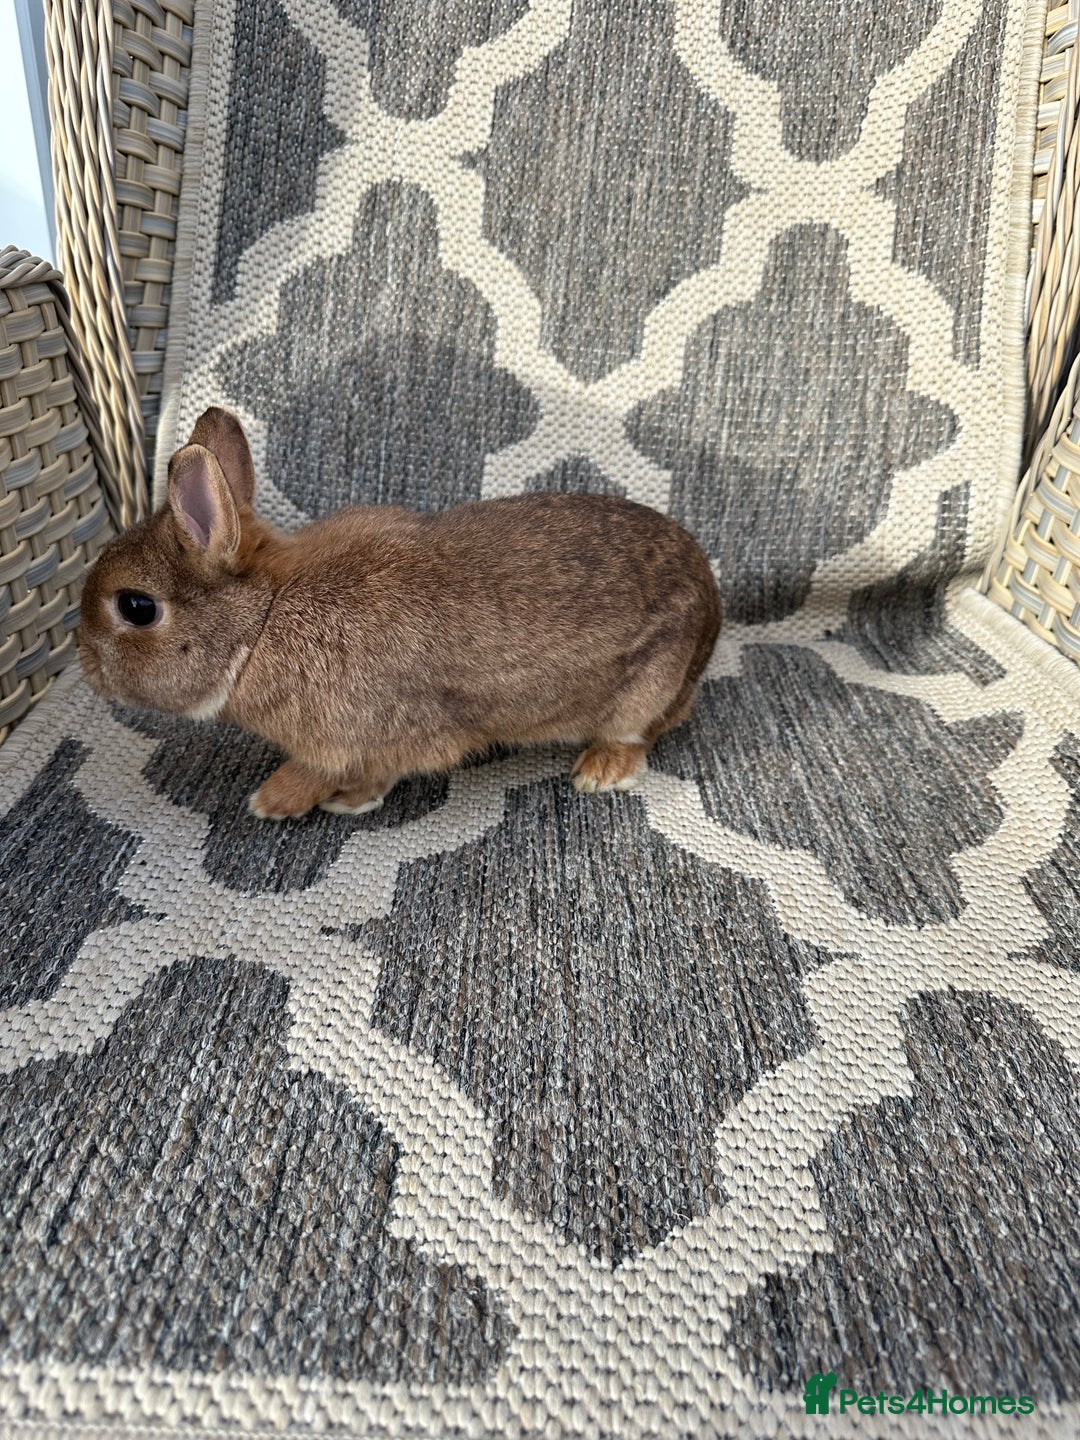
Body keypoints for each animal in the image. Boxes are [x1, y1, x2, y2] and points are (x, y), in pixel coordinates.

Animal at [79, 407, 722, 819]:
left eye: (136, 607)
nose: (86, 667)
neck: (262, 621)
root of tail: (712, 609)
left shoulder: (346, 737)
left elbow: (323, 772)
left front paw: (273, 803)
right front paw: (345, 802)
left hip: (646, 686)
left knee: (643, 730)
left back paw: (599, 770)